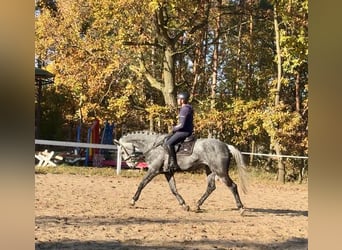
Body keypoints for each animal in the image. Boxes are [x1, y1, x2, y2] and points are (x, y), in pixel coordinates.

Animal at [116, 130, 247, 214]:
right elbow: (173, 189)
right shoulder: (168, 173)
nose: (131, 165)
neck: (153, 146)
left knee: (232, 186)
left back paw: (241, 208)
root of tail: (225, 145)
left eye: (122, 151)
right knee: (211, 187)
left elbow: (142, 184)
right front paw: (184, 205)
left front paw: (132, 201)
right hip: (210, 170)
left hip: (220, 172)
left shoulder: (153, 170)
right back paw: (197, 205)